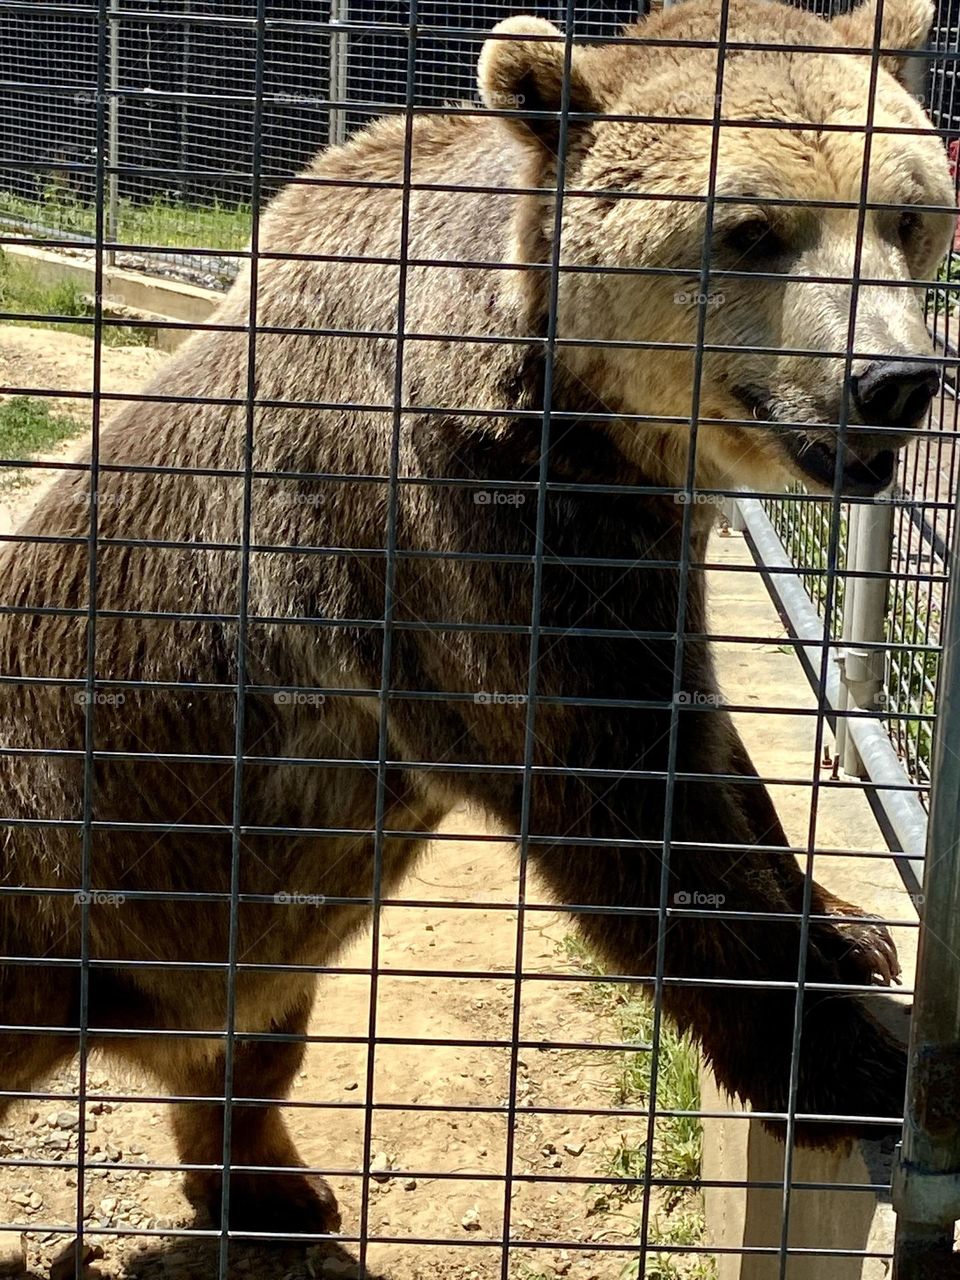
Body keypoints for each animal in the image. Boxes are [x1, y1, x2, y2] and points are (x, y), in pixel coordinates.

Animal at [0, 0, 953, 1239]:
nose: (893, 379)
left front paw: (845, 926)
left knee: (251, 1040)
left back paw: (274, 1186)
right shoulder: (448, 530)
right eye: (751, 230)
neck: (589, 427)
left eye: (906, 212)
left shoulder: (640, 544)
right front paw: (850, 1064)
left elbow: (703, 742)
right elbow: (612, 791)